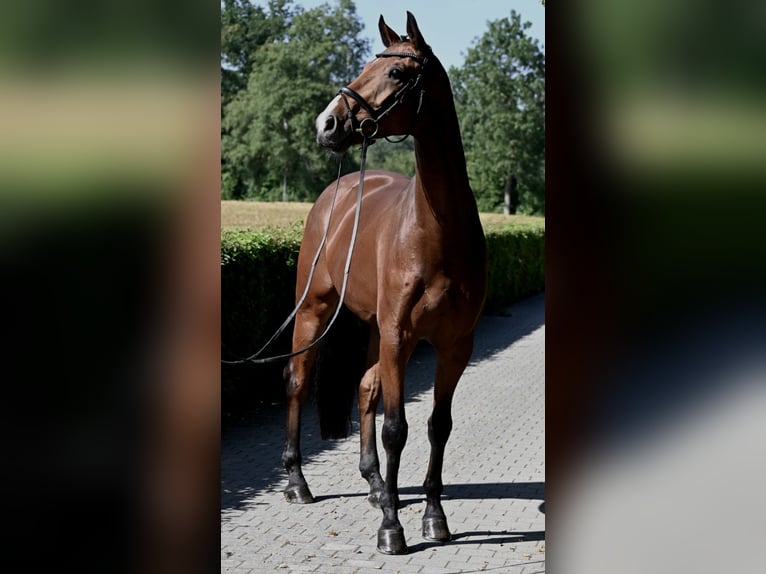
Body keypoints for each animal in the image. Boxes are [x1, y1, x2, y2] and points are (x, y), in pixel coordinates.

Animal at [281, 12, 488, 555]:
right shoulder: (401, 336)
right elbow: (398, 428)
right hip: (314, 309)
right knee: (298, 381)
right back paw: (297, 482)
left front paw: (433, 515)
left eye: (396, 73)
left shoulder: (454, 345)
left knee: (365, 386)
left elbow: (439, 425)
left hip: (374, 328)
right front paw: (392, 528)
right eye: (366, 66)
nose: (327, 124)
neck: (437, 231)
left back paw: (376, 485)